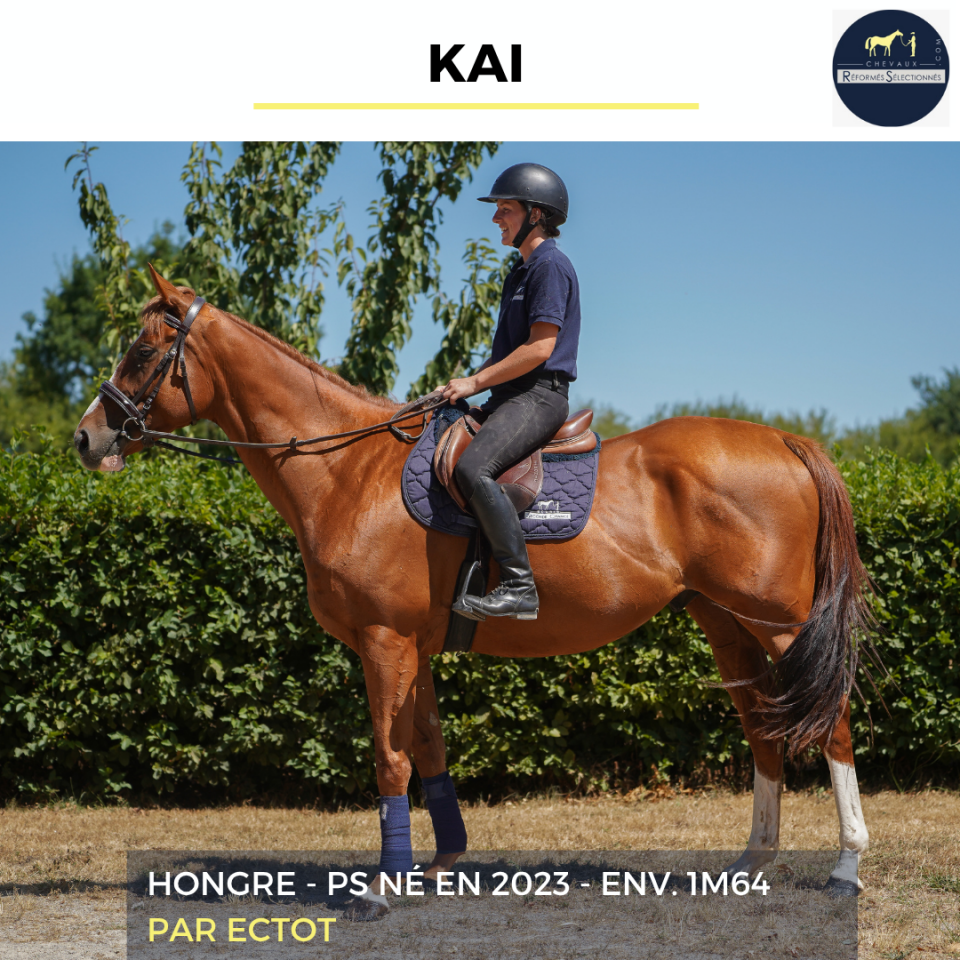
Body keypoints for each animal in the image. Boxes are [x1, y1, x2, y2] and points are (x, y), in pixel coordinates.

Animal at [75, 268, 875, 917]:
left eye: (142, 352)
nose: (86, 438)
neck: (350, 473)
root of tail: (785, 442)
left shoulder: (384, 641)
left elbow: (390, 757)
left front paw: (380, 888)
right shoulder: (412, 647)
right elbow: (427, 747)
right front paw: (437, 866)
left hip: (781, 624)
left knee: (831, 722)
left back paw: (845, 869)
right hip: (726, 623)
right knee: (763, 729)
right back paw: (751, 865)